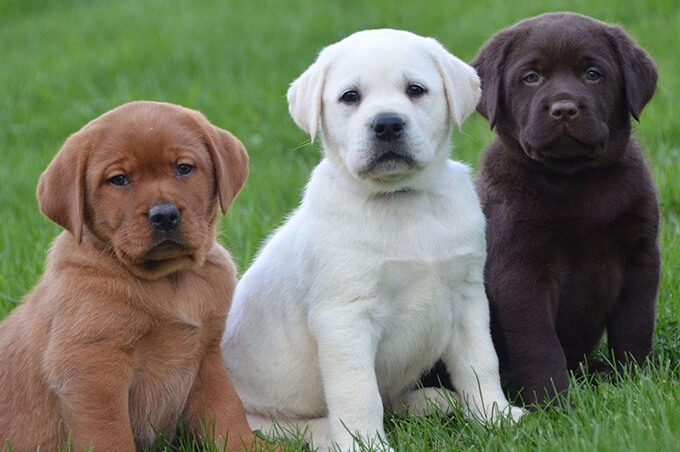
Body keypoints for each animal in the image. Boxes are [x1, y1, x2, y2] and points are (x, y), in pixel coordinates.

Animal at [0, 100, 258, 450]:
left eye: (183, 168)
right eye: (119, 179)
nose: (164, 215)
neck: (170, 281)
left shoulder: (208, 355)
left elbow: (227, 414)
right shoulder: (90, 367)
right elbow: (110, 433)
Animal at [220, 29, 524, 452]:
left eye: (415, 90)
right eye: (350, 96)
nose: (387, 124)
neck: (402, 201)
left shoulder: (467, 297)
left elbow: (481, 363)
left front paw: (495, 416)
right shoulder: (344, 317)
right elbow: (358, 392)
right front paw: (367, 444)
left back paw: (430, 401)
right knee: (288, 427)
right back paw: (329, 434)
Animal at [470, 12, 660, 404]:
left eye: (593, 74)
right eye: (531, 77)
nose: (564, 110)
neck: (576, 179)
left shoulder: (641, 255)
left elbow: (635, 326)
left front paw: (635, 381)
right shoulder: (520, 272)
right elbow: (539, 344)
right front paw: (554, 402)